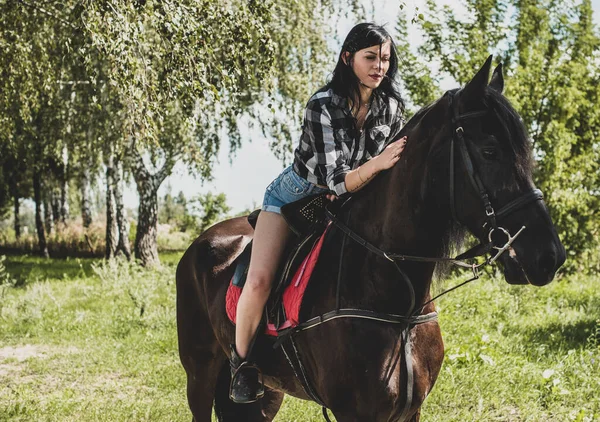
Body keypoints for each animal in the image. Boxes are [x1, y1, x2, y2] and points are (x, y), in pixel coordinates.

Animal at [175, 56, 568, 422]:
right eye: (490, 152)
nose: (549, 256)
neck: (398, 307)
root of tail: (201, 243)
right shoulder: (354, 412)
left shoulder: (411, 410)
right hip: (200, 373)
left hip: (266, 394)